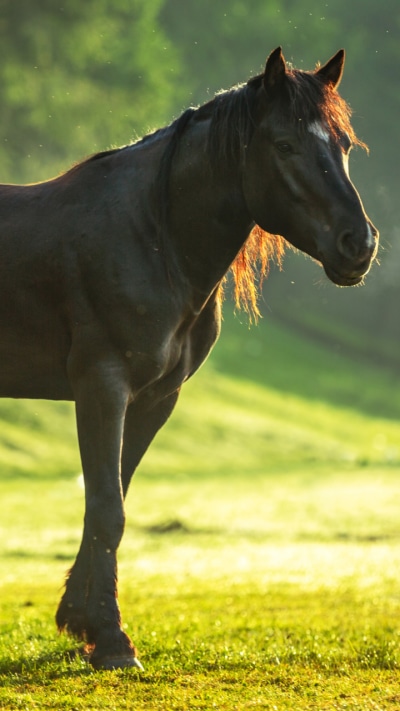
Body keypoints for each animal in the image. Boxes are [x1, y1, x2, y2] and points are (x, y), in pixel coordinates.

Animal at [0, 47, 378, 670]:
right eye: (284, 145)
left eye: (344, 145)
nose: (360, 244)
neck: (152, 239)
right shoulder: (102, 387)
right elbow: (107, 506)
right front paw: (111, 640)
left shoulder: (154, 399)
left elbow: (113, 500)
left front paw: (81, 620)